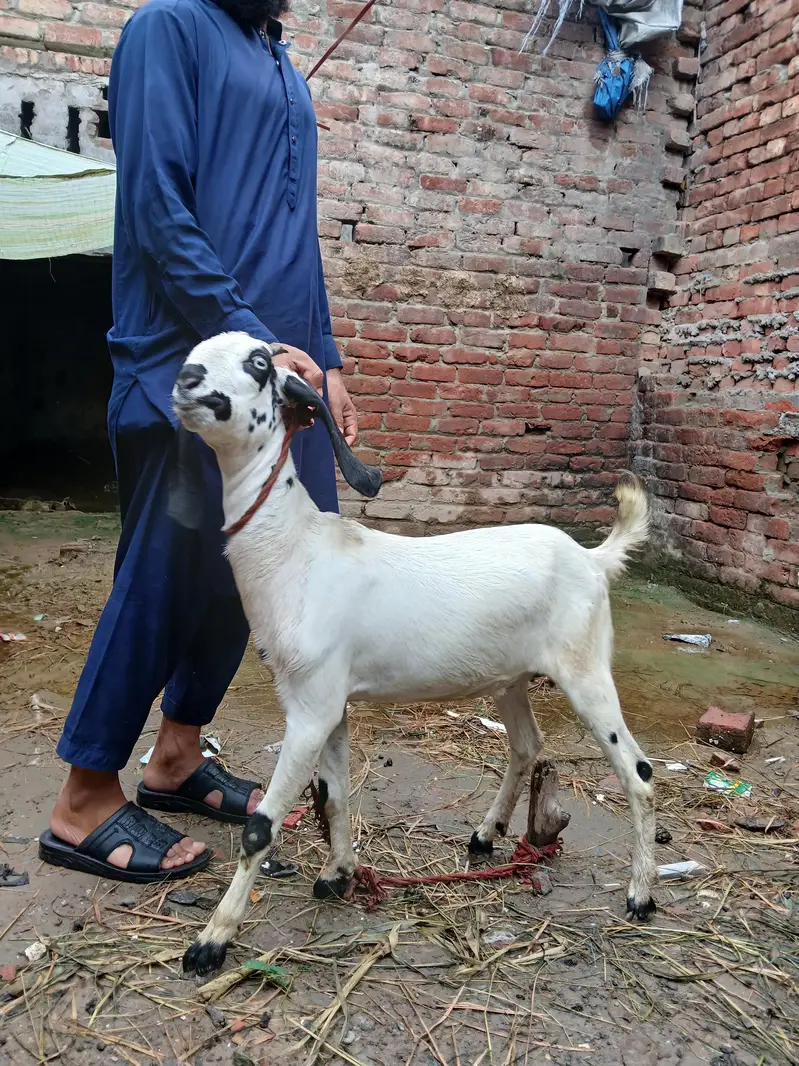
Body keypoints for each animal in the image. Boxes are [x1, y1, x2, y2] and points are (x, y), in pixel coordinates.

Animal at [171, 332, 656, 977]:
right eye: (196, 350)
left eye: (257, 362)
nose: (186, 381)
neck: (297, 553)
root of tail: (593, 559)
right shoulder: (328, 702)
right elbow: (334, 794)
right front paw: (338, 876)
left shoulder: (310, 706)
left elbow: (259, 827)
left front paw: (212, 941)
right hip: (511, 678)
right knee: (527, 746)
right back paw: (485, 835)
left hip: (586, 669)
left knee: (639, 773)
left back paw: (641, 896)